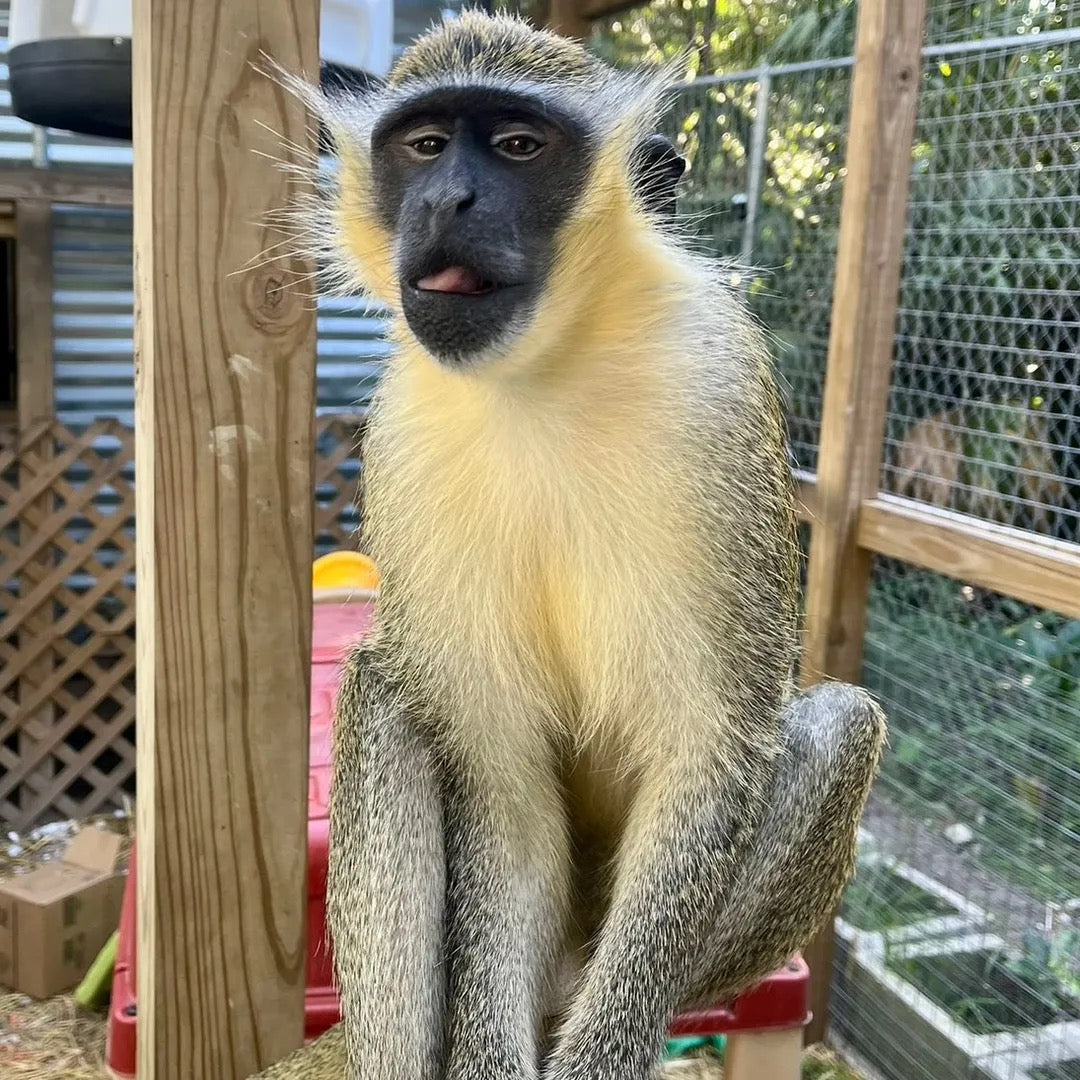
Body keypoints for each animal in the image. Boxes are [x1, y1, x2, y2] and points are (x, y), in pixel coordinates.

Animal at [253, 10, 886, 1080]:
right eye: (426, 145)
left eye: (518, 145)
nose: (447, 198)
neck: (544, 368)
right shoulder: (404, 438)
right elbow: (499, 780)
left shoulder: (716, 388)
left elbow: (708, 752)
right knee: (386, 689)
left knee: (840, 725)